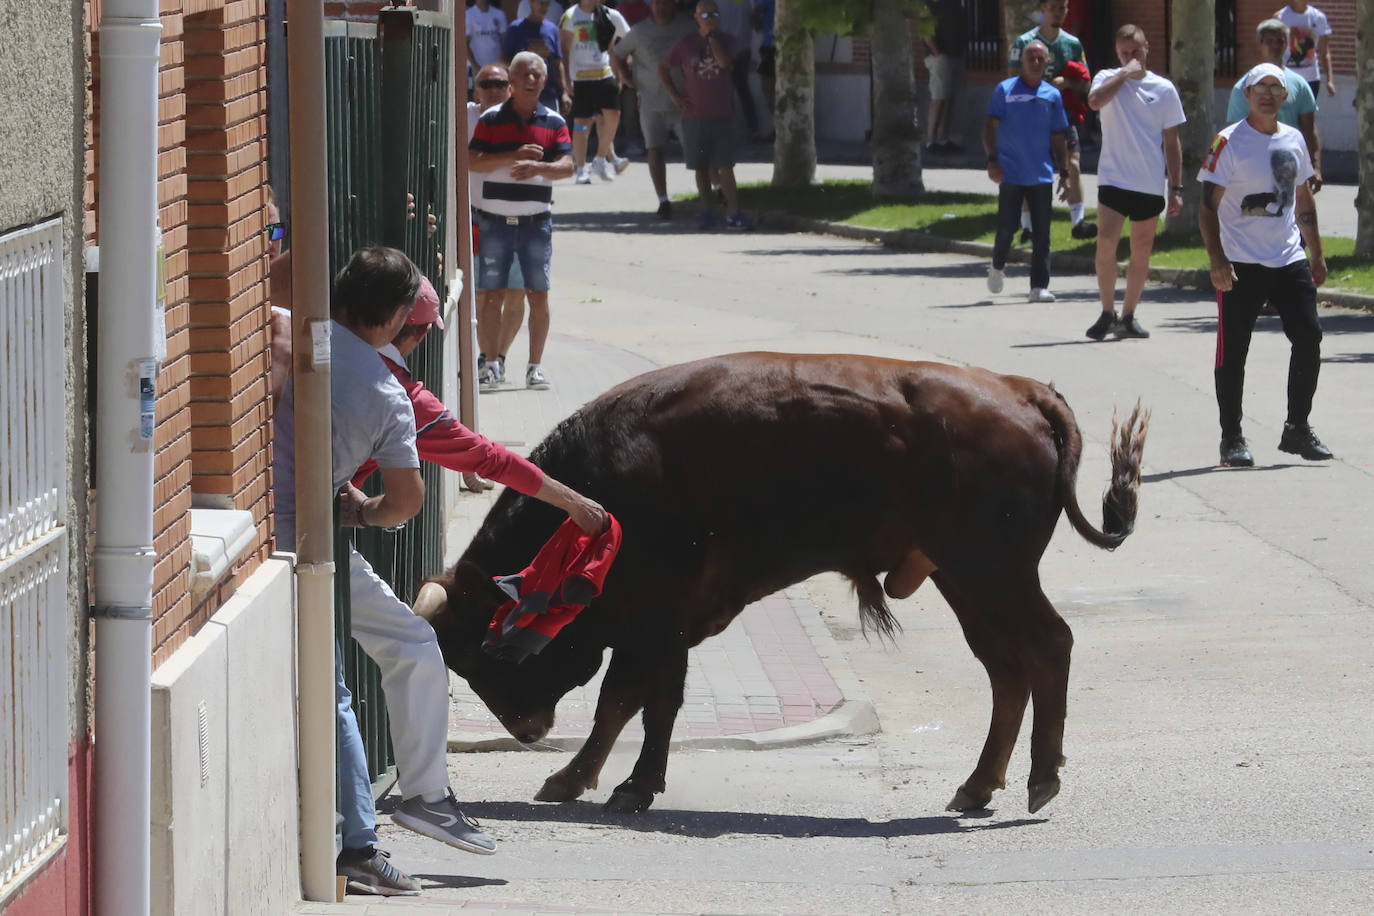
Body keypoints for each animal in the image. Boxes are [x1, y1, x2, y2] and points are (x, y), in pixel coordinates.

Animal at [414, 354, 1148, 818]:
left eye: (477, 650)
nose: (527, 728)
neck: (607, 487)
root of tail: (1021, 390)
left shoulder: (659, 620)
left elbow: (639, 703)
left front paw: (621, 785)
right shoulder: (660, 626)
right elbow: (630, 704)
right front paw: (580, 779)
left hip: (993, 574)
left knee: (1048, 647)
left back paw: (1040, 781)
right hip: (966, 583)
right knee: (1006, 669)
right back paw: (977, 787)